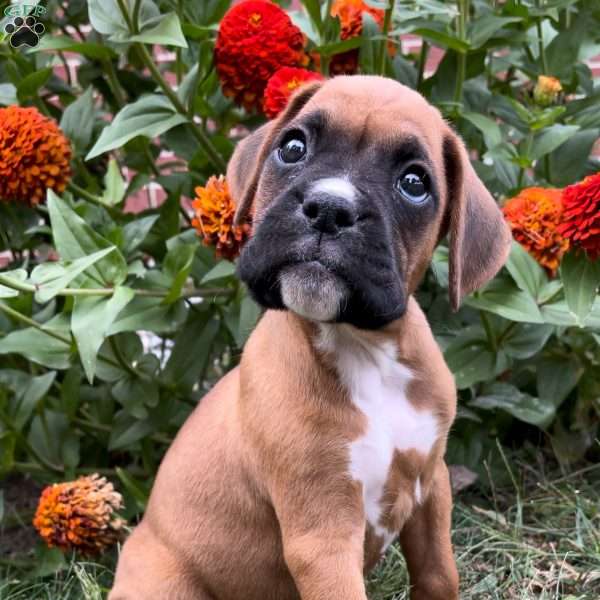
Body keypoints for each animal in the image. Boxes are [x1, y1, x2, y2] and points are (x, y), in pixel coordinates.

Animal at [111, 76, 510, 600]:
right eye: (293, 147)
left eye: (414, 183)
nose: (330, 208)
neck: (363, 349)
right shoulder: (323, 535)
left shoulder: (432, 486)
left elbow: (440, 575)